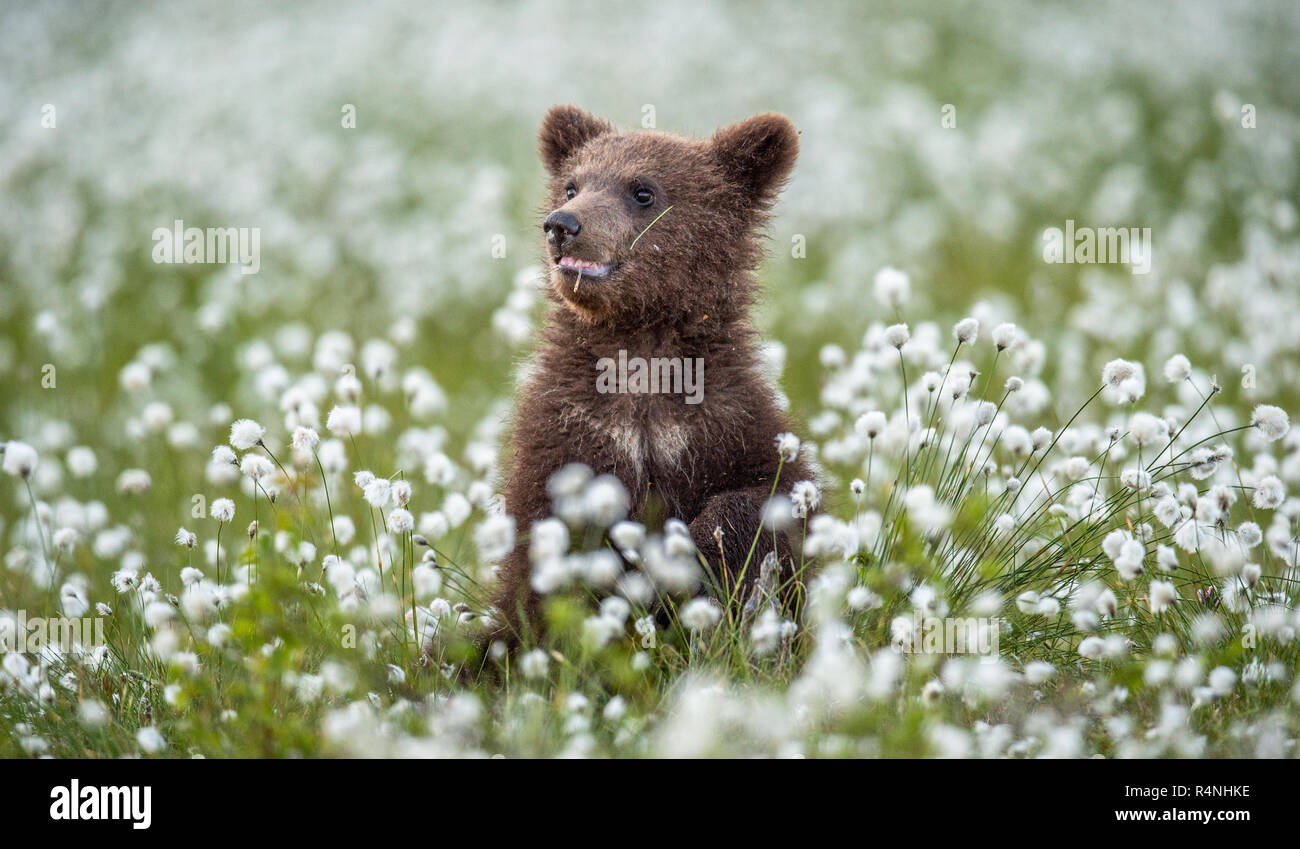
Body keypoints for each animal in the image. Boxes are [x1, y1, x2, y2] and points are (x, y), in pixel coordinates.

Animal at [484, 105, 815, 648]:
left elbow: (774, 494)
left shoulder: (724, 418)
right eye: (572, 185)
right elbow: (544, 543)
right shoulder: (568, 427)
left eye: (643, 191)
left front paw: (695, 552)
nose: (562, 224)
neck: (641, 348)